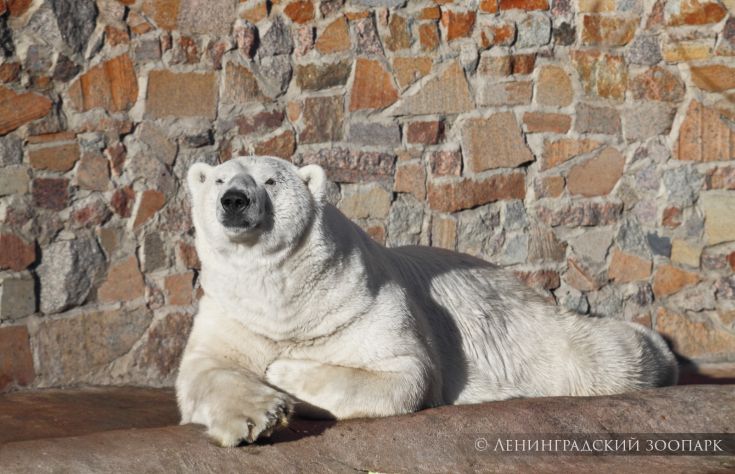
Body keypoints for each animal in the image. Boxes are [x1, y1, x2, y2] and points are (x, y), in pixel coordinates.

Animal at [177, 156, 680, 448]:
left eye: (271, 180)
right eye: (218, 178)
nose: (234, 200)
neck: (287, 296)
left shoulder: (363, 299)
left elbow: (404, 373)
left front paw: (283, 371)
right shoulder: (234, 312)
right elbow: (206, 370)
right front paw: (257, 416)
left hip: (537, 338)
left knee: (605, 355)